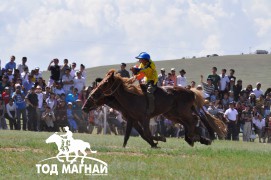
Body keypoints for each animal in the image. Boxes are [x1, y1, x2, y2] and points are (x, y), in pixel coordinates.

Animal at [84, 70, 228, 148]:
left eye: (105, 83)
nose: (84, 106)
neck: (132, 97)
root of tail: (191, 91)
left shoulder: (144, 118)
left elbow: (146, 133)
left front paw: (158, 141)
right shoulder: (132, 119)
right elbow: (129, 135)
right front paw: (124, 147)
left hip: (182, 111)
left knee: (194, 119)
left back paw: (197, 138)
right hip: (172, 114)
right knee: (190, 122)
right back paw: (197, 138)